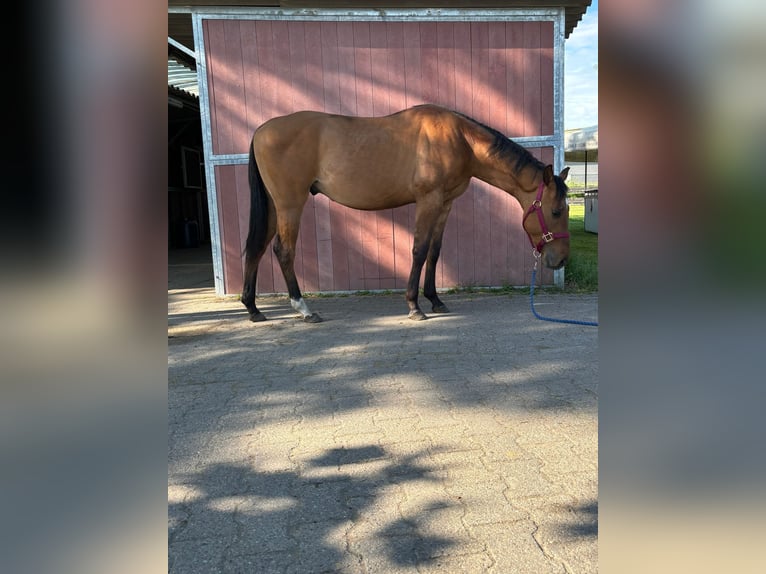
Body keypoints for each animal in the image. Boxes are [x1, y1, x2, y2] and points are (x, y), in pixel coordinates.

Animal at [240, 104, 568, 324]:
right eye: (555, 211)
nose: (561, 260)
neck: (459, 139)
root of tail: (261, 131)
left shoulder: (445, 204)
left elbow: (434, 252)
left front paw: (435, 300)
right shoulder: (428, 200)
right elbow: (419, 250)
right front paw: (414, 306)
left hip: (274, 207)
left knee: (256, 249)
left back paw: (253, 309)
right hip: (290, 205)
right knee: (283, 250)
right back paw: (304, 309)